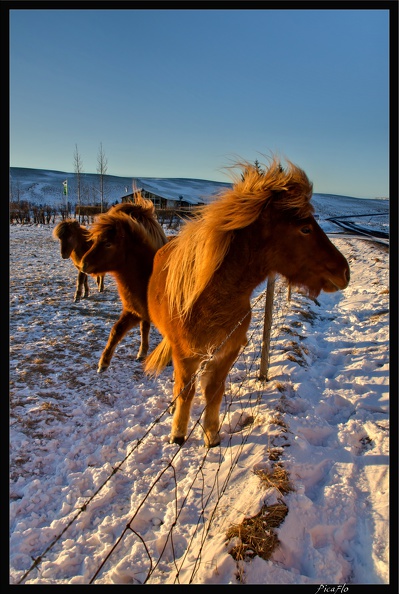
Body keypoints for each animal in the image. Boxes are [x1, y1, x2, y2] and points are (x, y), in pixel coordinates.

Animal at [146, 157, 350, 444]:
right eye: (305, 228)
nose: (345, 272)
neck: (209, 301)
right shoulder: (186, 356)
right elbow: (186, 392)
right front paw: (178, 434)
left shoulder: (227, 352)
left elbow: (214, 391)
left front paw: (212, 435)